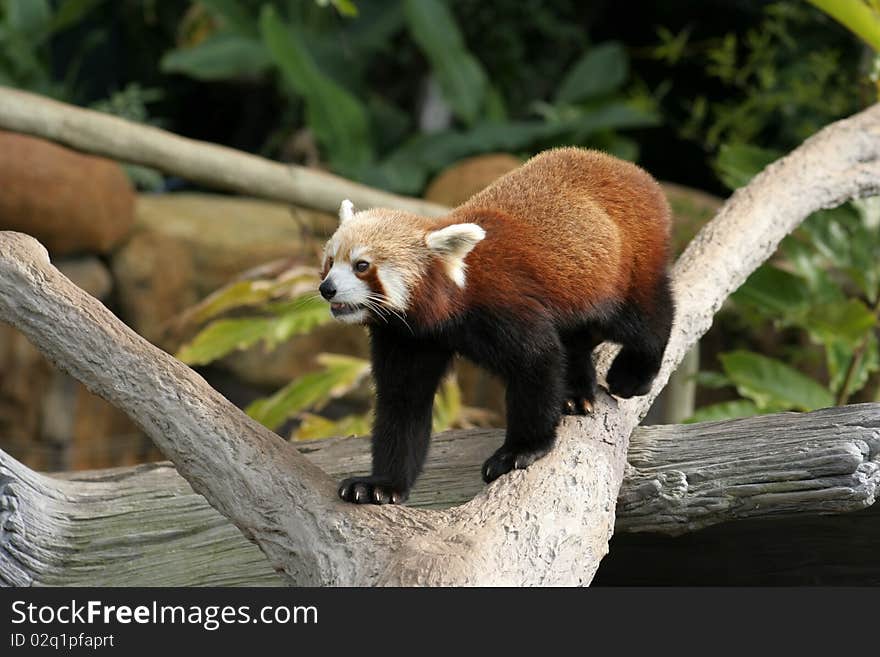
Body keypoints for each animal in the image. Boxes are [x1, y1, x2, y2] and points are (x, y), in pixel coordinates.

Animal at [320, 149, 672, 504]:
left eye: (362, 265)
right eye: (330, 262)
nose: (327, 288)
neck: (445, 310)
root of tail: (629, 169)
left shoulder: (503, 305)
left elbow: (537, 364)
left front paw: (522, 450)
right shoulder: (408, 337)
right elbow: (403, 402)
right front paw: (381, 483)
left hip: (625, 267)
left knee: (644, 319)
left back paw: (633, 374)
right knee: (574, 341)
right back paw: (574, 392)